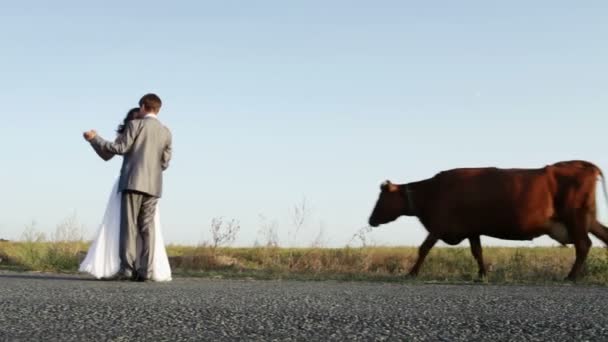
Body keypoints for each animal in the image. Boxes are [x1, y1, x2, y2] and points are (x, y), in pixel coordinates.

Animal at [366, 160, 608, 280]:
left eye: (382, 198)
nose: (371, 220)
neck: (432, 192)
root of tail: (580, 166)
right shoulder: (472, 229)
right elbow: (478, 252)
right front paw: (482, 274)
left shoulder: (438, 226)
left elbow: (423, 248)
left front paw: (412, 273)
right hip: (587, 219)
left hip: (576, 217)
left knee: (583, 245)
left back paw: (571, 276)